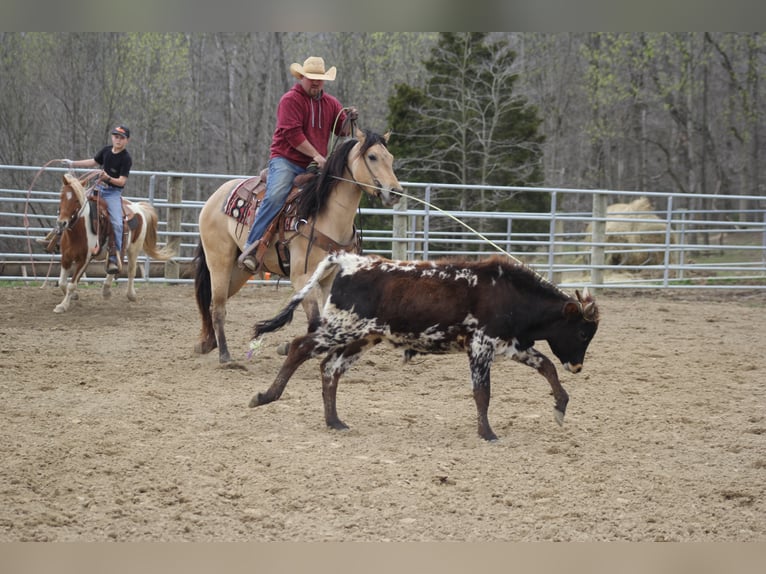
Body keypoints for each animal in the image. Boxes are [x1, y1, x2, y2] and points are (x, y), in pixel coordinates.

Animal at [51, 173, 177, 316]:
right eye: (61, 197)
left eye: (77, 200)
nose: (62, 223)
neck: (79, 231)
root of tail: (137, 207)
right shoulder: (66, 257)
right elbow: (62, 282)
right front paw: (73, 297)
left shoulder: (84, 259)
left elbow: (71, 284)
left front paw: (62, 305)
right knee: (114, 265)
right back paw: (106, 290)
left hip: (134, 249)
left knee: (131, 270)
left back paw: (131, 295)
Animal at [195, 129, 404, 364]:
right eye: (372, 157)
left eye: (390, 158)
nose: (395, 192)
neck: (326, 216)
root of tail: (214, 197)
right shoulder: (302, 276)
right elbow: (314, 322)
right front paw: (288, 348)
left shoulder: (331, 278)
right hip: (219, 262)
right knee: (218, 306)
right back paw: (225, 356)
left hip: (239, 272)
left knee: (212, 303)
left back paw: (207, 343)